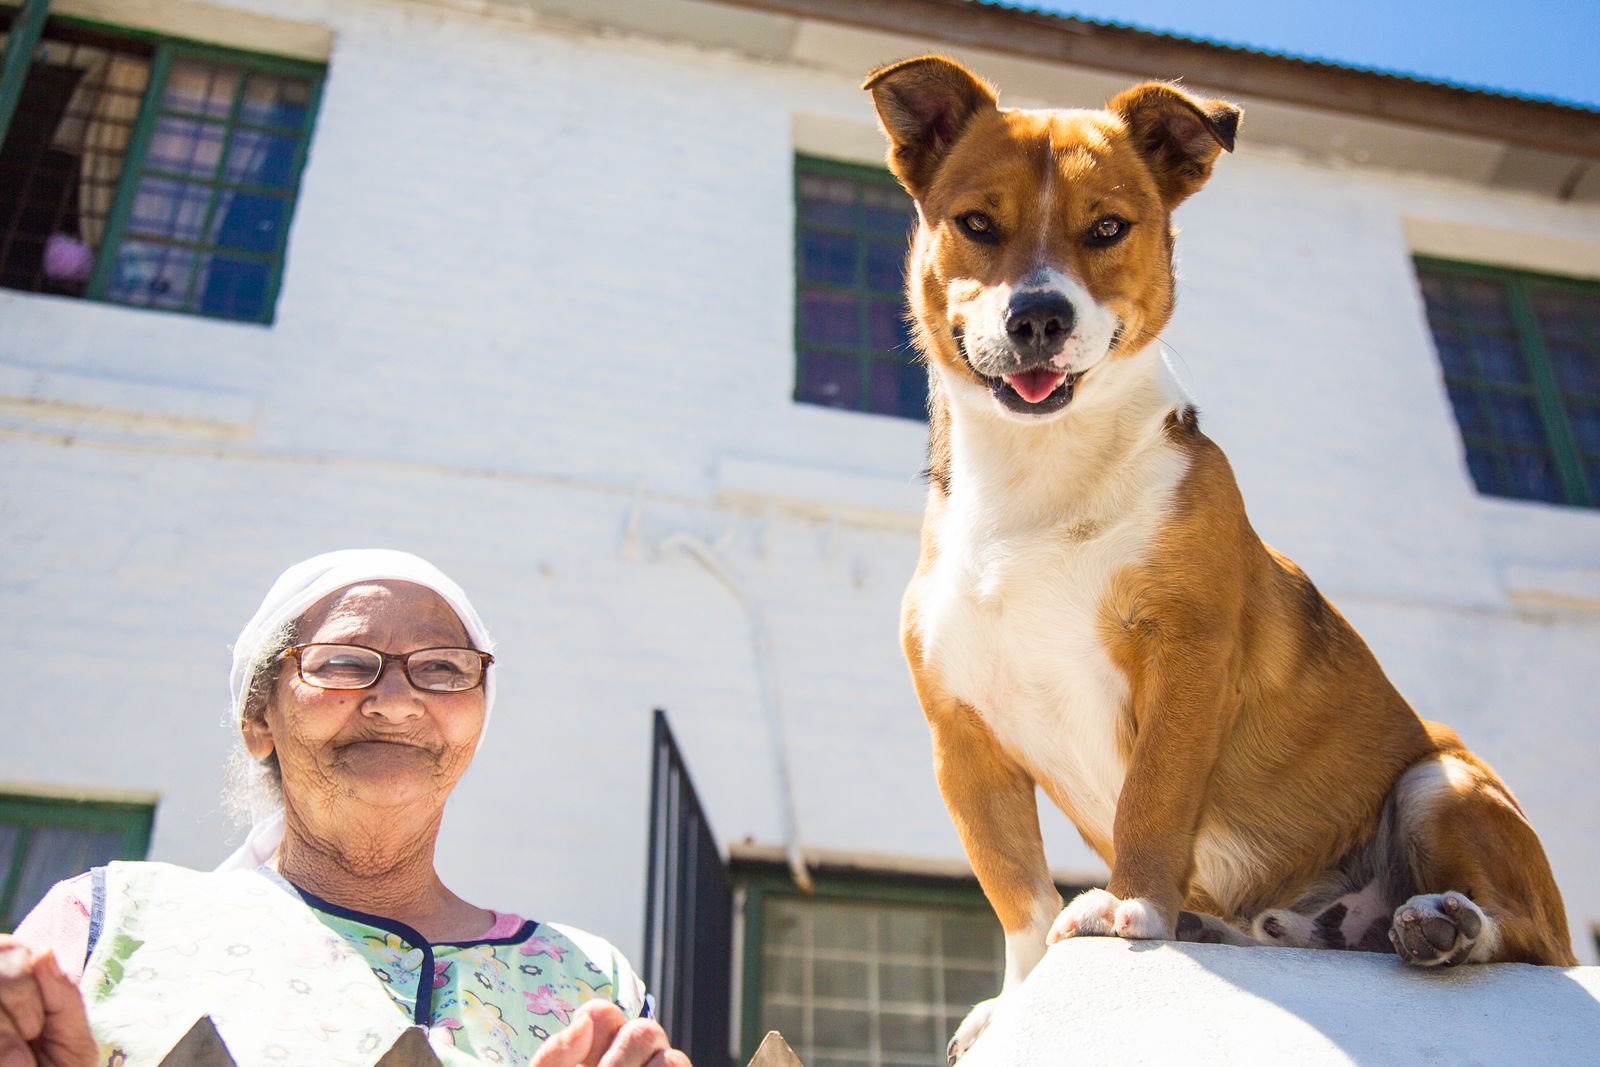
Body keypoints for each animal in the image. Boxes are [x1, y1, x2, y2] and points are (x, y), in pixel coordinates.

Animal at [864, 56, 1574, 1062]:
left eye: (1108, 227)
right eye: (977, 223)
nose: (1039, 315)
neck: (1040, 474)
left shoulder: (1187, 654)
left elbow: (1152, 801)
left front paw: (1130, 905)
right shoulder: (962, 734)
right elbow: (1017, 895)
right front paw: (1022, 997)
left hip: (1441, 781)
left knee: (1532, 937)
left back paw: (1444, 921)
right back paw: (1255, 925)